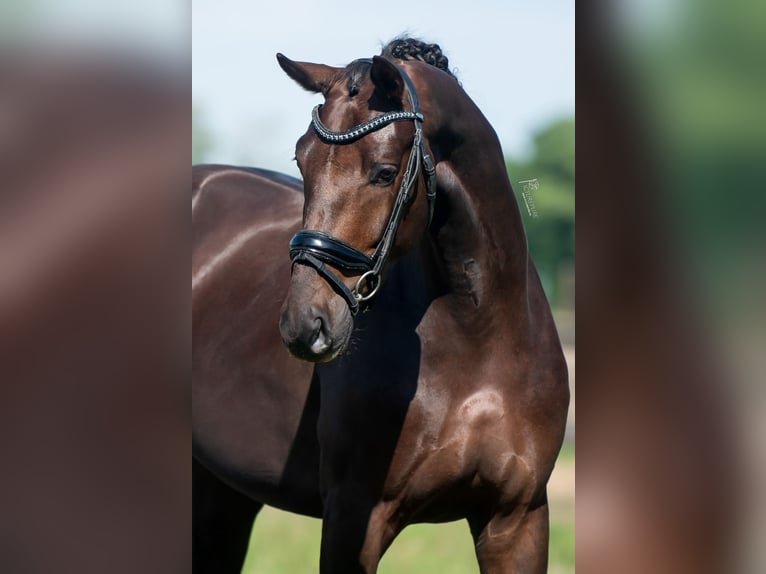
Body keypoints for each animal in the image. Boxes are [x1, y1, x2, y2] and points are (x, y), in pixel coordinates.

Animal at [192, 38, 569, 573]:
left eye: (385, 172)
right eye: (301, 161)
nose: (304, 325)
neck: (479, 338)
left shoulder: (517, 521)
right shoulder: (355, 519)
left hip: (223, 490)